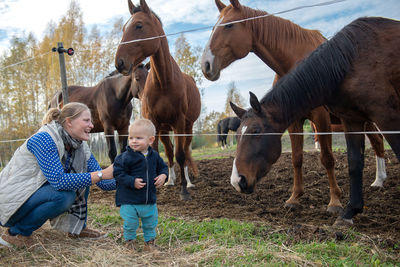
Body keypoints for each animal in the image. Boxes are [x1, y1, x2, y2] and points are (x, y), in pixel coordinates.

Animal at [114, 0, 202, 201]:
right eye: (123, 28)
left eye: (139, 25)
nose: (119, 62)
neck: (164, 82)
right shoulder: (153, 121)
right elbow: (155, 150)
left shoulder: (179, 122)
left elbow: (180, 154)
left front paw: (184, 191)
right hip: (163, 129)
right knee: (169, 152)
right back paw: (170, 180)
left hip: (187, 127)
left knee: (185, 151)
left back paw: (187, 182)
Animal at [200, 0, 384, 214]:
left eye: (229, 25)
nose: (205, 65)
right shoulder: (293, 121)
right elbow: (296, 158)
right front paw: (294, 198)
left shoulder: (321, 119)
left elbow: (327, 158)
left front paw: (334, 201)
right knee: (377, 141)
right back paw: (378, 180)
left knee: (378, 142)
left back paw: (380, 181)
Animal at [228, 16, 400, 226]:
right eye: (237, 135)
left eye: (256, 131)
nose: (237, 181)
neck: (347, 62)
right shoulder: (350, 120)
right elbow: (353, 163)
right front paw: (349, 211)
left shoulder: (384, 115)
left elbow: (328, 158)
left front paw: (335, 204)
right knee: (376, 143)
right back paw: (378, 180)